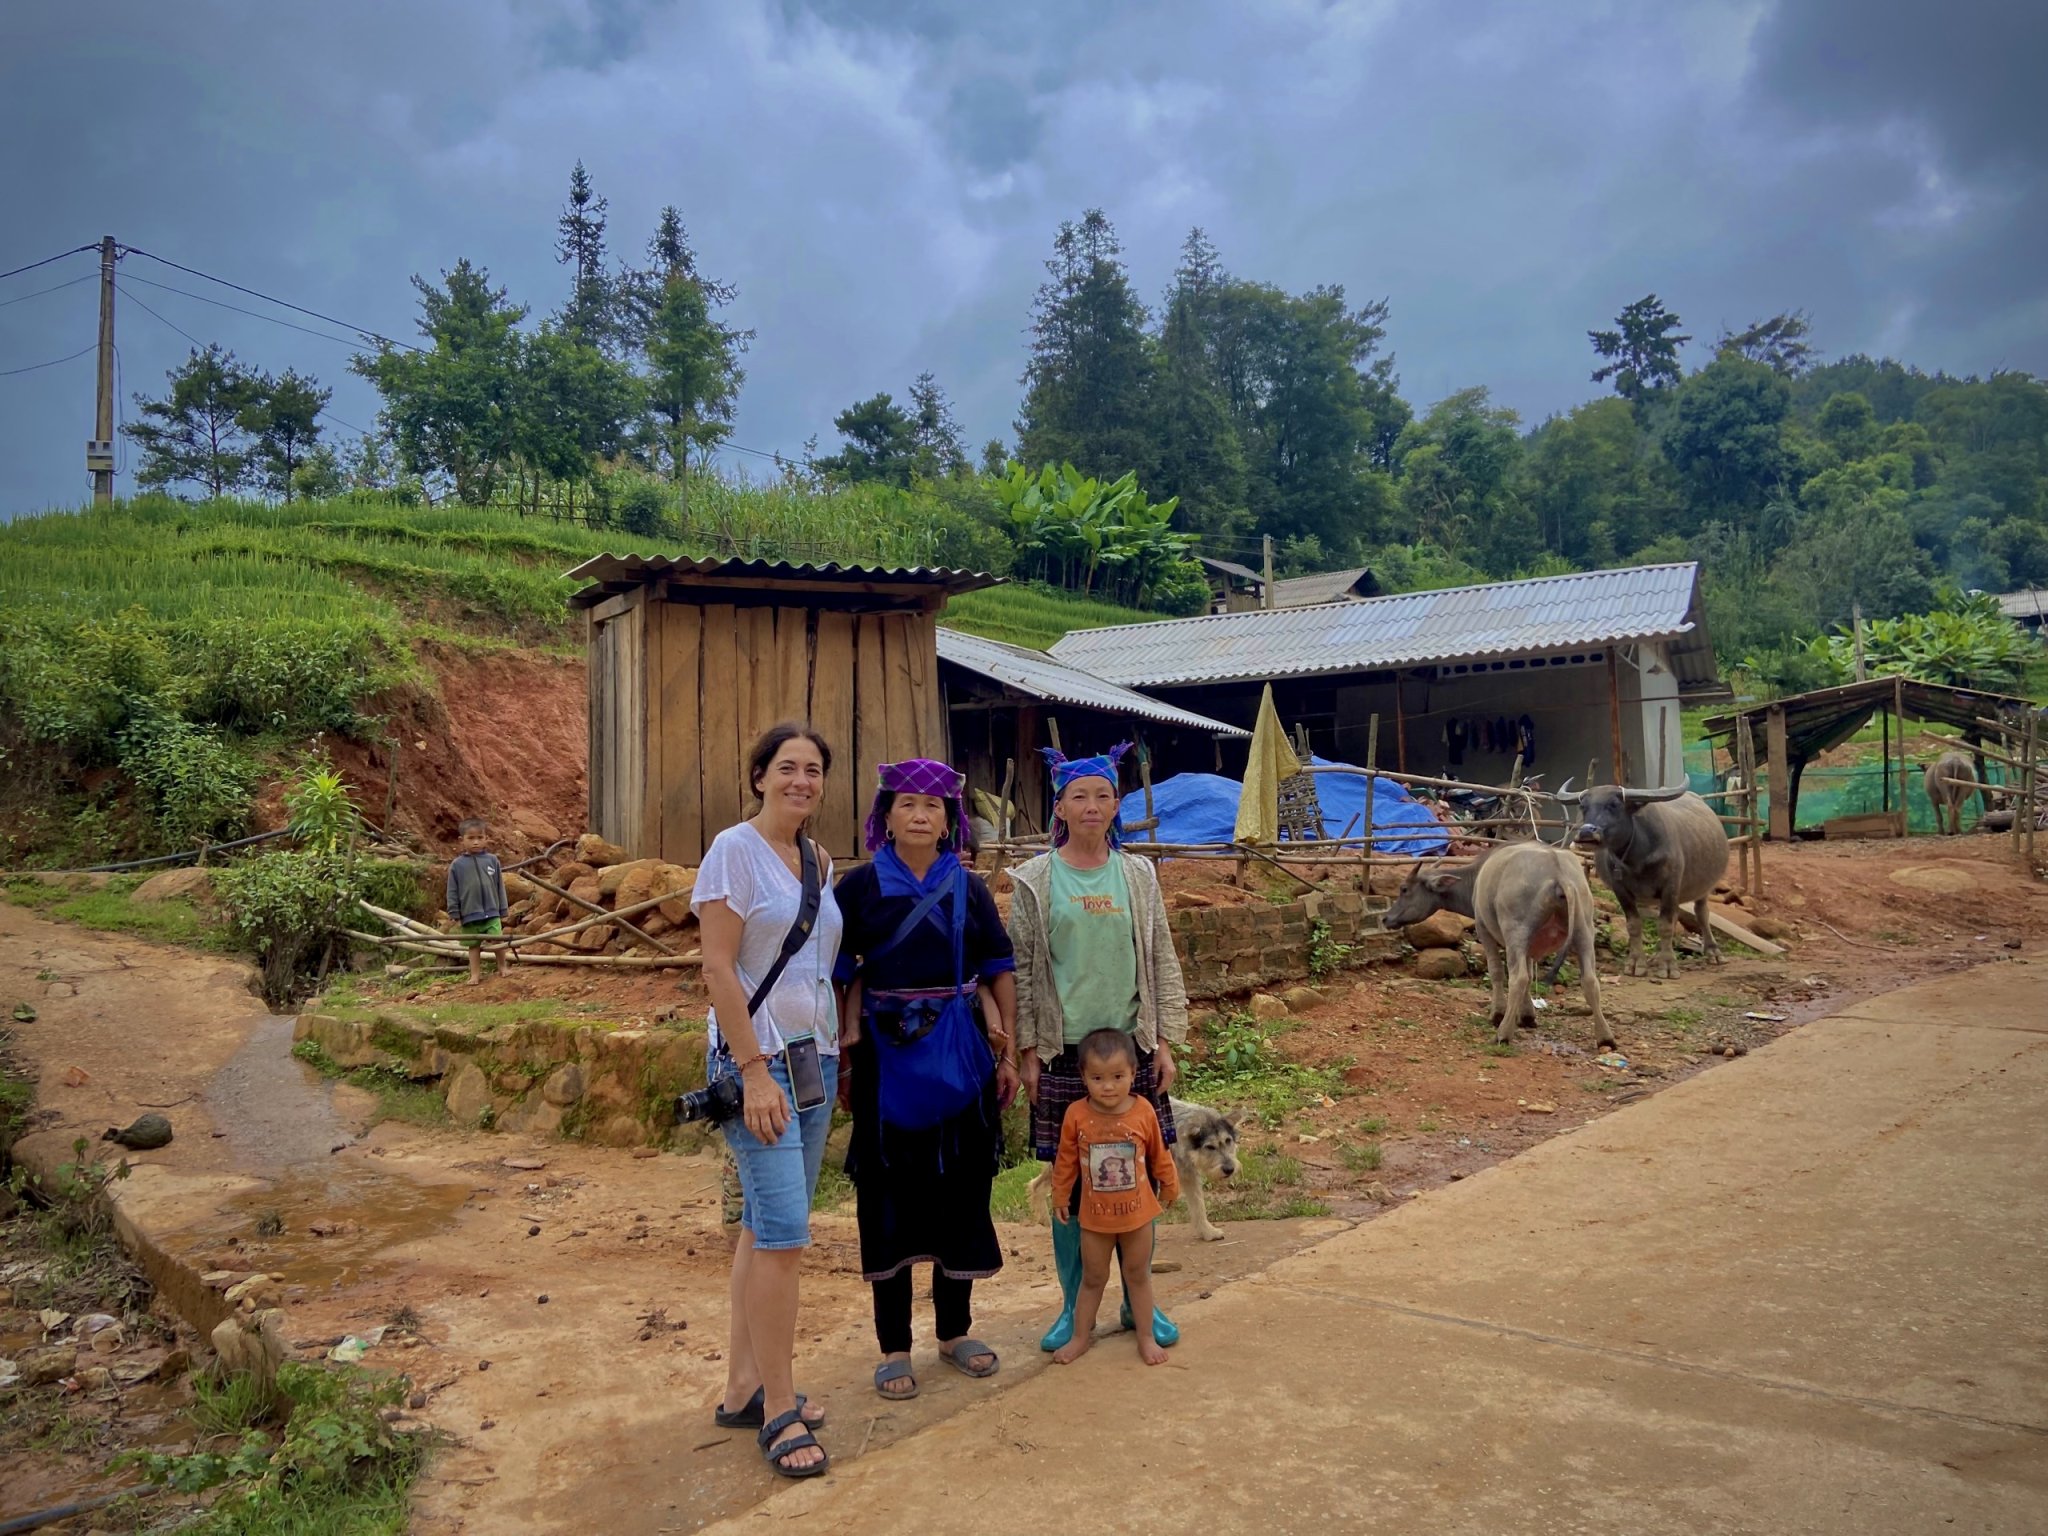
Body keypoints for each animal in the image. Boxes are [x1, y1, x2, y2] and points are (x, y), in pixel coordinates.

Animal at [1032, 1097, 1236, 1236]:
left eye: (1228, 1142)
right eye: (1210, 1147)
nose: (1229, 1169)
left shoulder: (1187, 1173)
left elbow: (1198, 1204)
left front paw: (1207, 1231)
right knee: (1037, 1185)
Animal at [1376, 847, 1613, 1056]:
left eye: (1404, 889)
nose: (1386, 918)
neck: (1476, 878)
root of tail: (1558, 873)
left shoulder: (1484, 931)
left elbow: (1497, 972)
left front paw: (1498, 1014)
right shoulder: (1529, 945)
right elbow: (1529, 972)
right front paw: (1527, 1016)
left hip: (1515, 932)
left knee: (1517, 978)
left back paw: (1503, 1034)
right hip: (1584, 931)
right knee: (1589, 980)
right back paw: (1606, 1038)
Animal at [1564, 786, 1728, 978]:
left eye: (1614, 804)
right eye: (1583, 806)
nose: (1586, 832)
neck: (1637, 860)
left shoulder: (1671, 886)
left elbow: (1665, 925)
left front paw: (1668, 965)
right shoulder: (1621, 890)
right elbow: (1634, 925)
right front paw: (1636, 963)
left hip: (1704, 887)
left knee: (1701, 913)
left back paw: (1713, 952)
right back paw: (1658, 955)